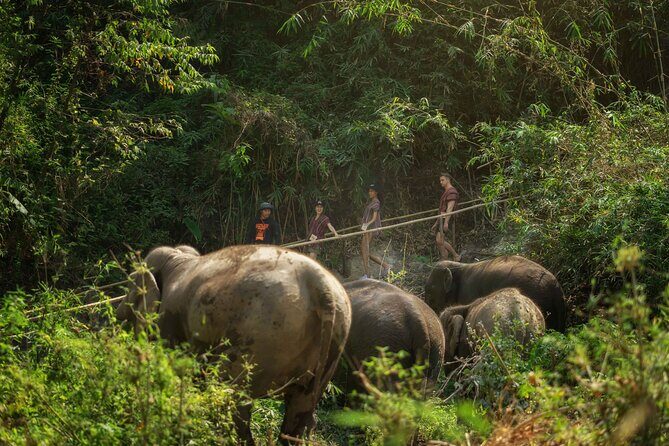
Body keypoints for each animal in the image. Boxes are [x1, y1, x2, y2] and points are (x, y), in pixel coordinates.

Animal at [116, 244, 352, 445]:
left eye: (129, 288)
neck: (177, 258)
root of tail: (322, 288)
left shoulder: (169, 320)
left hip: (261, 337)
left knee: (231, 398)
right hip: (329, 348)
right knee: (300, 407)